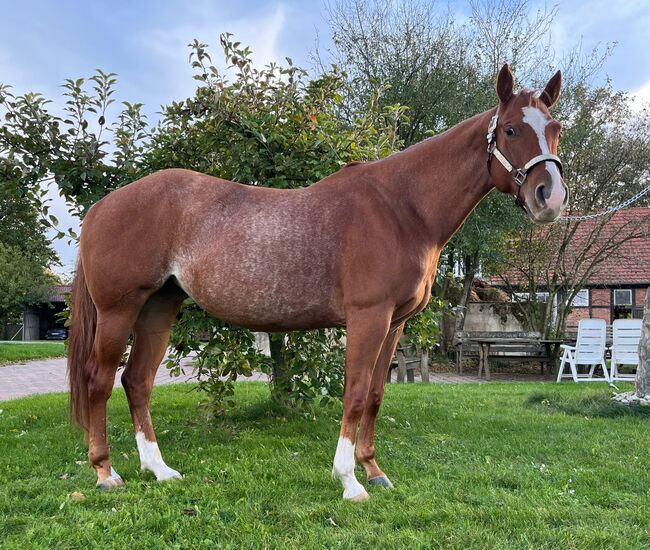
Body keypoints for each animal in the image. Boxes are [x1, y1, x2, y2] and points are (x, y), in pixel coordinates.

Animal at [64, 63, 560, 500]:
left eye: (556, 129)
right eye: (511, 130)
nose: (550, 198)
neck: (402, 208)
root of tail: (104, 205)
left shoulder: (394, 323)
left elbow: (376, 394)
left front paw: (374, 470)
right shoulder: (367, 318)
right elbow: (354, 395)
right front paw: (350, 482)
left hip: (158, 307)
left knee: (137, 381)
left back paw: (160, 469)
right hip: (118, 310)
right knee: (99, 380)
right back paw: (105, 473)